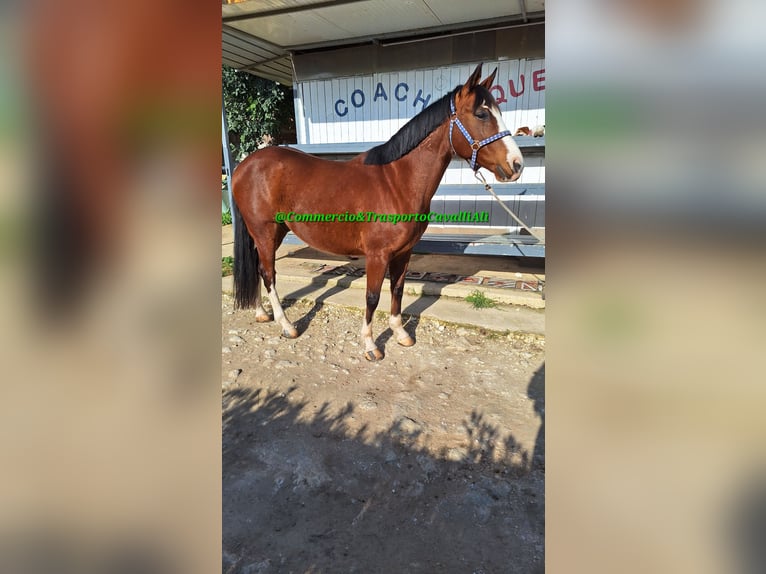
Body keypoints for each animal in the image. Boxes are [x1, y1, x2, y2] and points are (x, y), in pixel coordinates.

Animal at [231, 63, 523, 361]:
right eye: (481, 114)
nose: (516, 165)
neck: (397, 182)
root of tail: (244, 165)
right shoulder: (377, 255)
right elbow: (372, 296)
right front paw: (371, 345)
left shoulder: (404, 252)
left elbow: (397, 290)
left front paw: (401, 334)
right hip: (265, 233)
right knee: (268, 273)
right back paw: (287, 325)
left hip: (270, 233)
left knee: (258, 269)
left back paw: (261, 313)